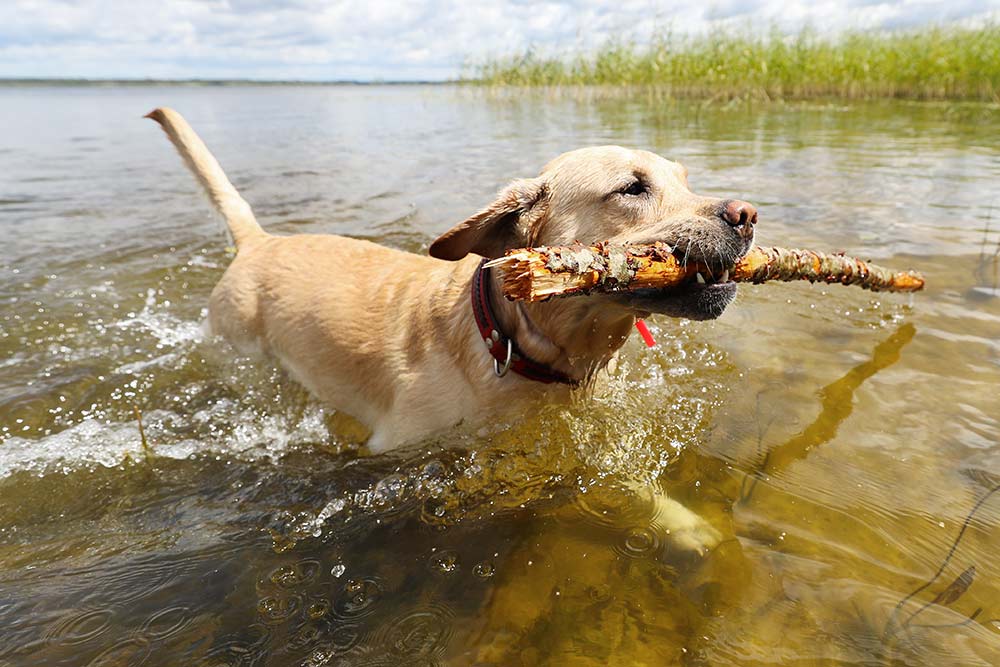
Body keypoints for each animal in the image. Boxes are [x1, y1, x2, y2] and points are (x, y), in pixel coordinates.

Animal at [146, 107, 756, 552]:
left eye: (685, 180)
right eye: (632, 188)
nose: (748, 215)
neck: (512, 342)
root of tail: (258, 241)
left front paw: (686, 524)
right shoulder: (399, 445)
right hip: (247, 365)